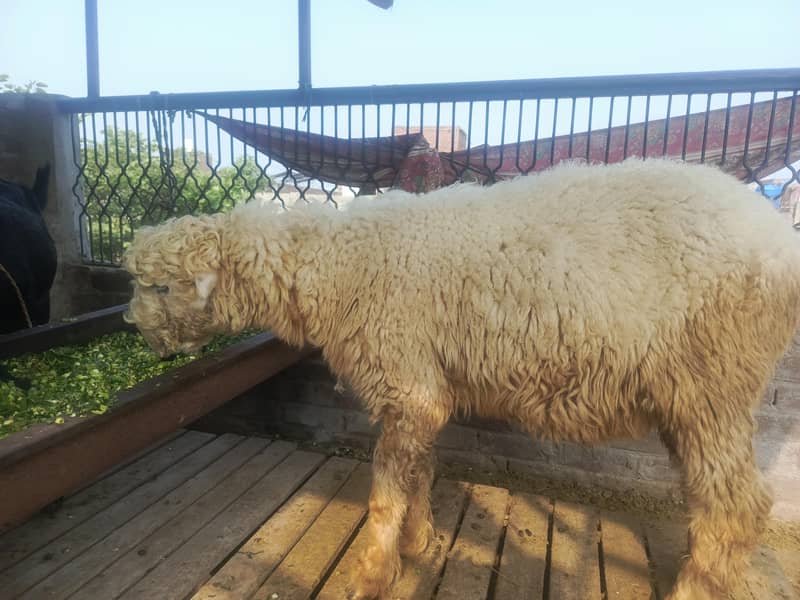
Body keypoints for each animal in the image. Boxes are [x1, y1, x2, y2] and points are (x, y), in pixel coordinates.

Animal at [122, 158, 800, 600]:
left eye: (162, 287)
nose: (136, 330)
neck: (335, 260)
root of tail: (777, 237)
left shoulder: (405, 376)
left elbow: (385, 490)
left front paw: (372, 573)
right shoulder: (423, 382)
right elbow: (419, 469)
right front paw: (417, 542)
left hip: (715, 380)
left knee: (739, 504)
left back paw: (696, 589)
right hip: (701, 395)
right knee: (716, 497)